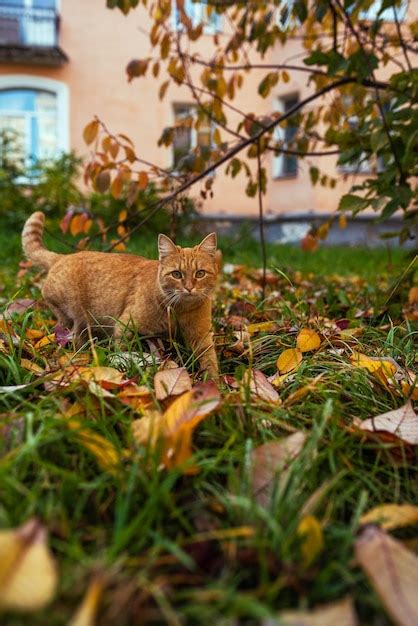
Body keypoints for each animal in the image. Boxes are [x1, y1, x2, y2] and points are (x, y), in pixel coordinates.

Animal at [22, 211, 220, 376]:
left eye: (200, 273)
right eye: (177, 274)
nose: (189, 288)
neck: (178, 311)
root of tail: (63, 256)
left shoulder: (202, 338)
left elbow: (210, 361)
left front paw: (214, 384)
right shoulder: (125, 327)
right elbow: (122, 351)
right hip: (74, 319)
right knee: (74, 338)